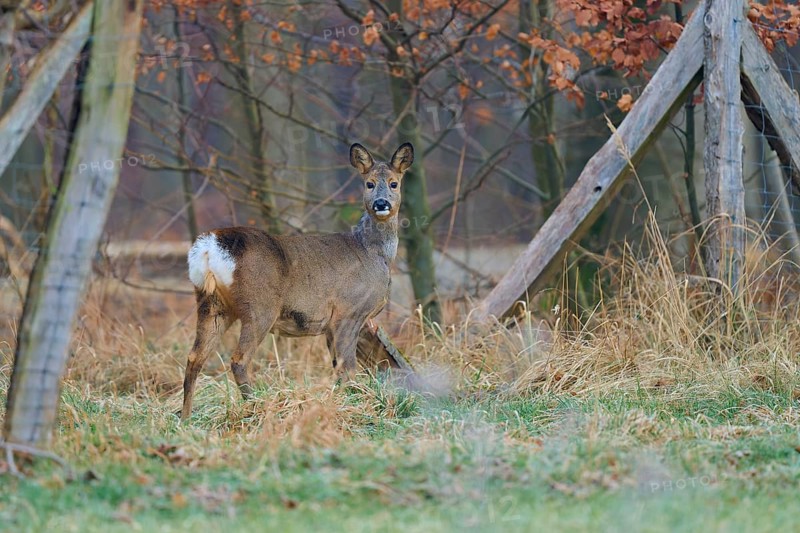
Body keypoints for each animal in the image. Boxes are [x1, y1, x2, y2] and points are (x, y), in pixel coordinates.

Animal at [180, 142, 413, 420]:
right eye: (369, 183)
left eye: (393, 183)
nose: (381, 203)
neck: (374, 252)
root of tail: (209, 248)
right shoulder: (349, 310)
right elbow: (347, 368)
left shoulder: (333, 323)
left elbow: (338, 367)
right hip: (260, 306)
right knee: (239, 359)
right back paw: (257, 406)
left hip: (211, 303)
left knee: (194, 357)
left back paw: (185, 418)